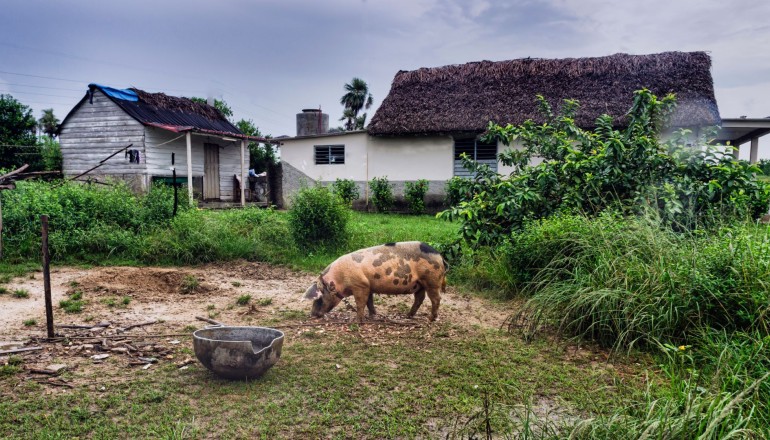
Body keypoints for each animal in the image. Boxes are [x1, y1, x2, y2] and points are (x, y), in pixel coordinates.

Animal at [300, 241, 444, 324]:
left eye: (320, 298)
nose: (312, 314)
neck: (339, 280)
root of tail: (440, 256)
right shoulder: (368, 285)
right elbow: (369, 302)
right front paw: (373, 315)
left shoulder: (360, 285)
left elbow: (360, 303)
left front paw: (358, 321)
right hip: (420, 284)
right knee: (420, 298)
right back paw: (408, 316)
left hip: (431, 280)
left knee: (436, 299)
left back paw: (430, 319)